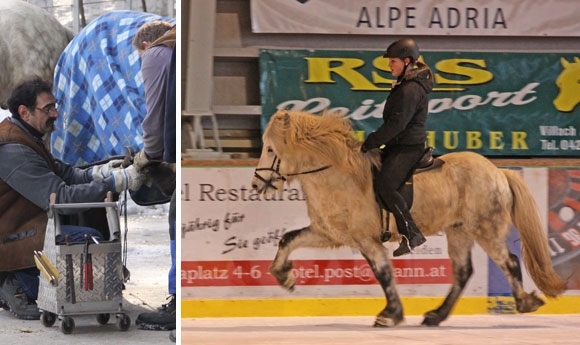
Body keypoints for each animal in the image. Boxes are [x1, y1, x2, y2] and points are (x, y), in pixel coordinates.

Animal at [250, 109, 568, 326]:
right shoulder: (328, 233)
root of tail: (498, 172)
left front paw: (390, 315)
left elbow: (383, 274)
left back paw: (525, 302)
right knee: (463, 272)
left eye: (270, 149)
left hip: (485, 229)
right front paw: (284, 276)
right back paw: (436, 315)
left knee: (509, 262)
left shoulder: (367, 240)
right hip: (459, 231)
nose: (256, 185)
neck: (338, 175)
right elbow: (288, 239)